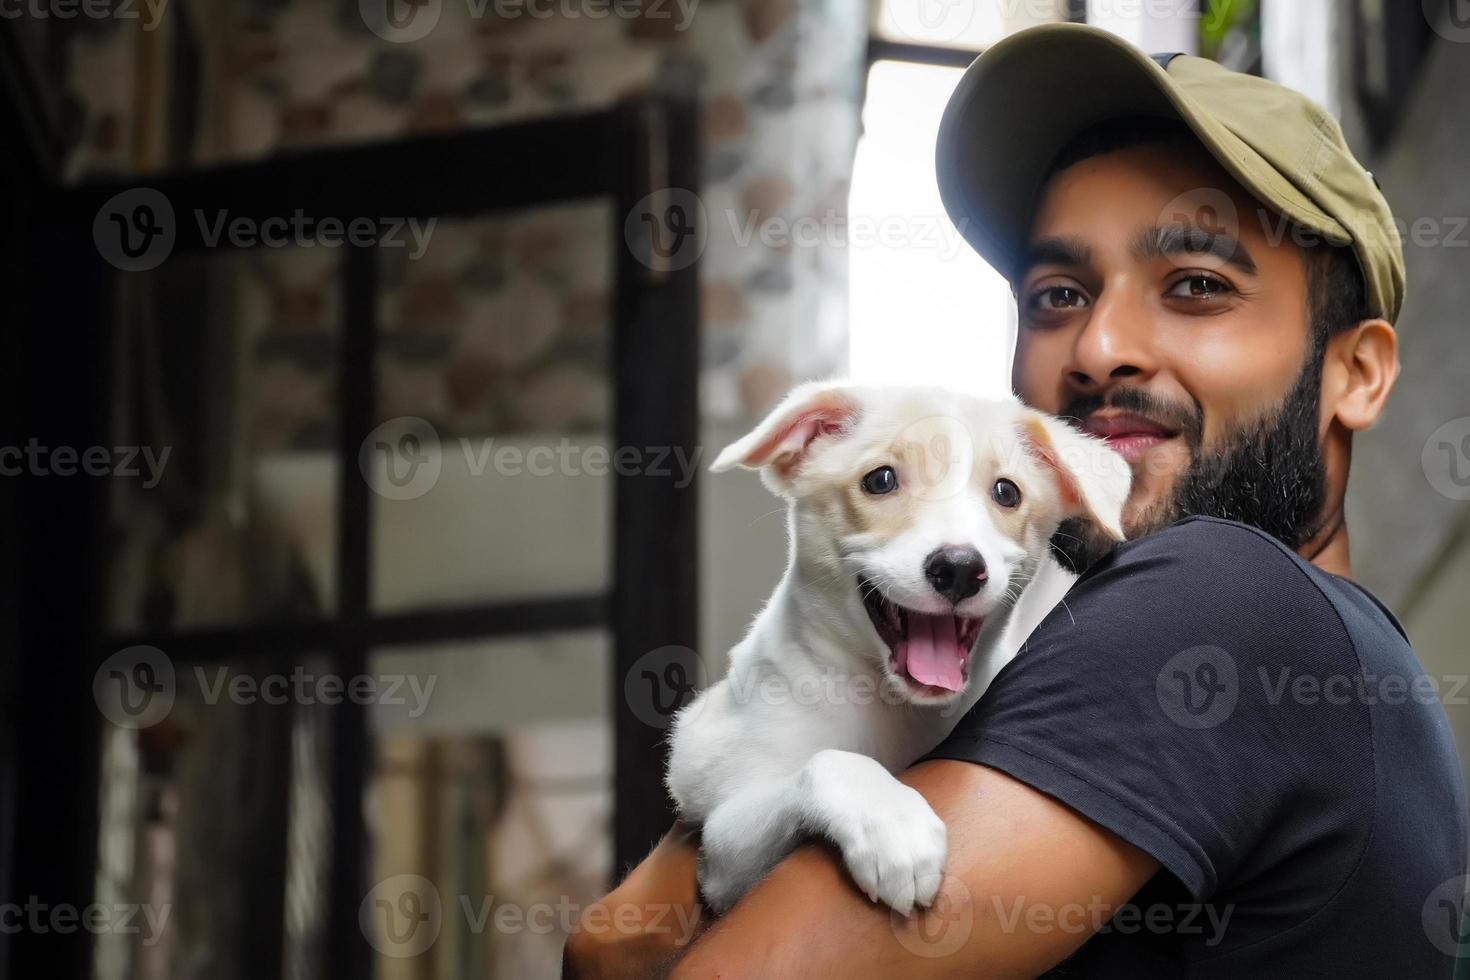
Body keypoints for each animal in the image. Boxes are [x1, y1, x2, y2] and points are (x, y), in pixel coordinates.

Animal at [667, 382, 1134, 910]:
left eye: (1006, 492)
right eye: (880, 480)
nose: (959, 568)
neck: (897, 706)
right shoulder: (722, 850)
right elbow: (828, 761)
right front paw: (891, 822)